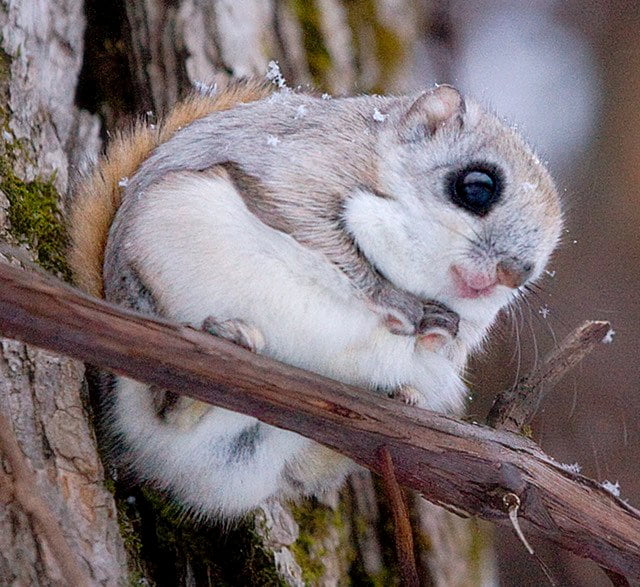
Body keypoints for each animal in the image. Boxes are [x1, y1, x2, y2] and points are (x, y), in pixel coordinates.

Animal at [67, 77, 564, 520]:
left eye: (537, 271)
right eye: (477, 186)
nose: (516, 273)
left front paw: (439, 334)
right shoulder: (303, 172)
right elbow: (325, 239)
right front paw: (399, 302)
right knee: (163, 407)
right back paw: (219, 344)